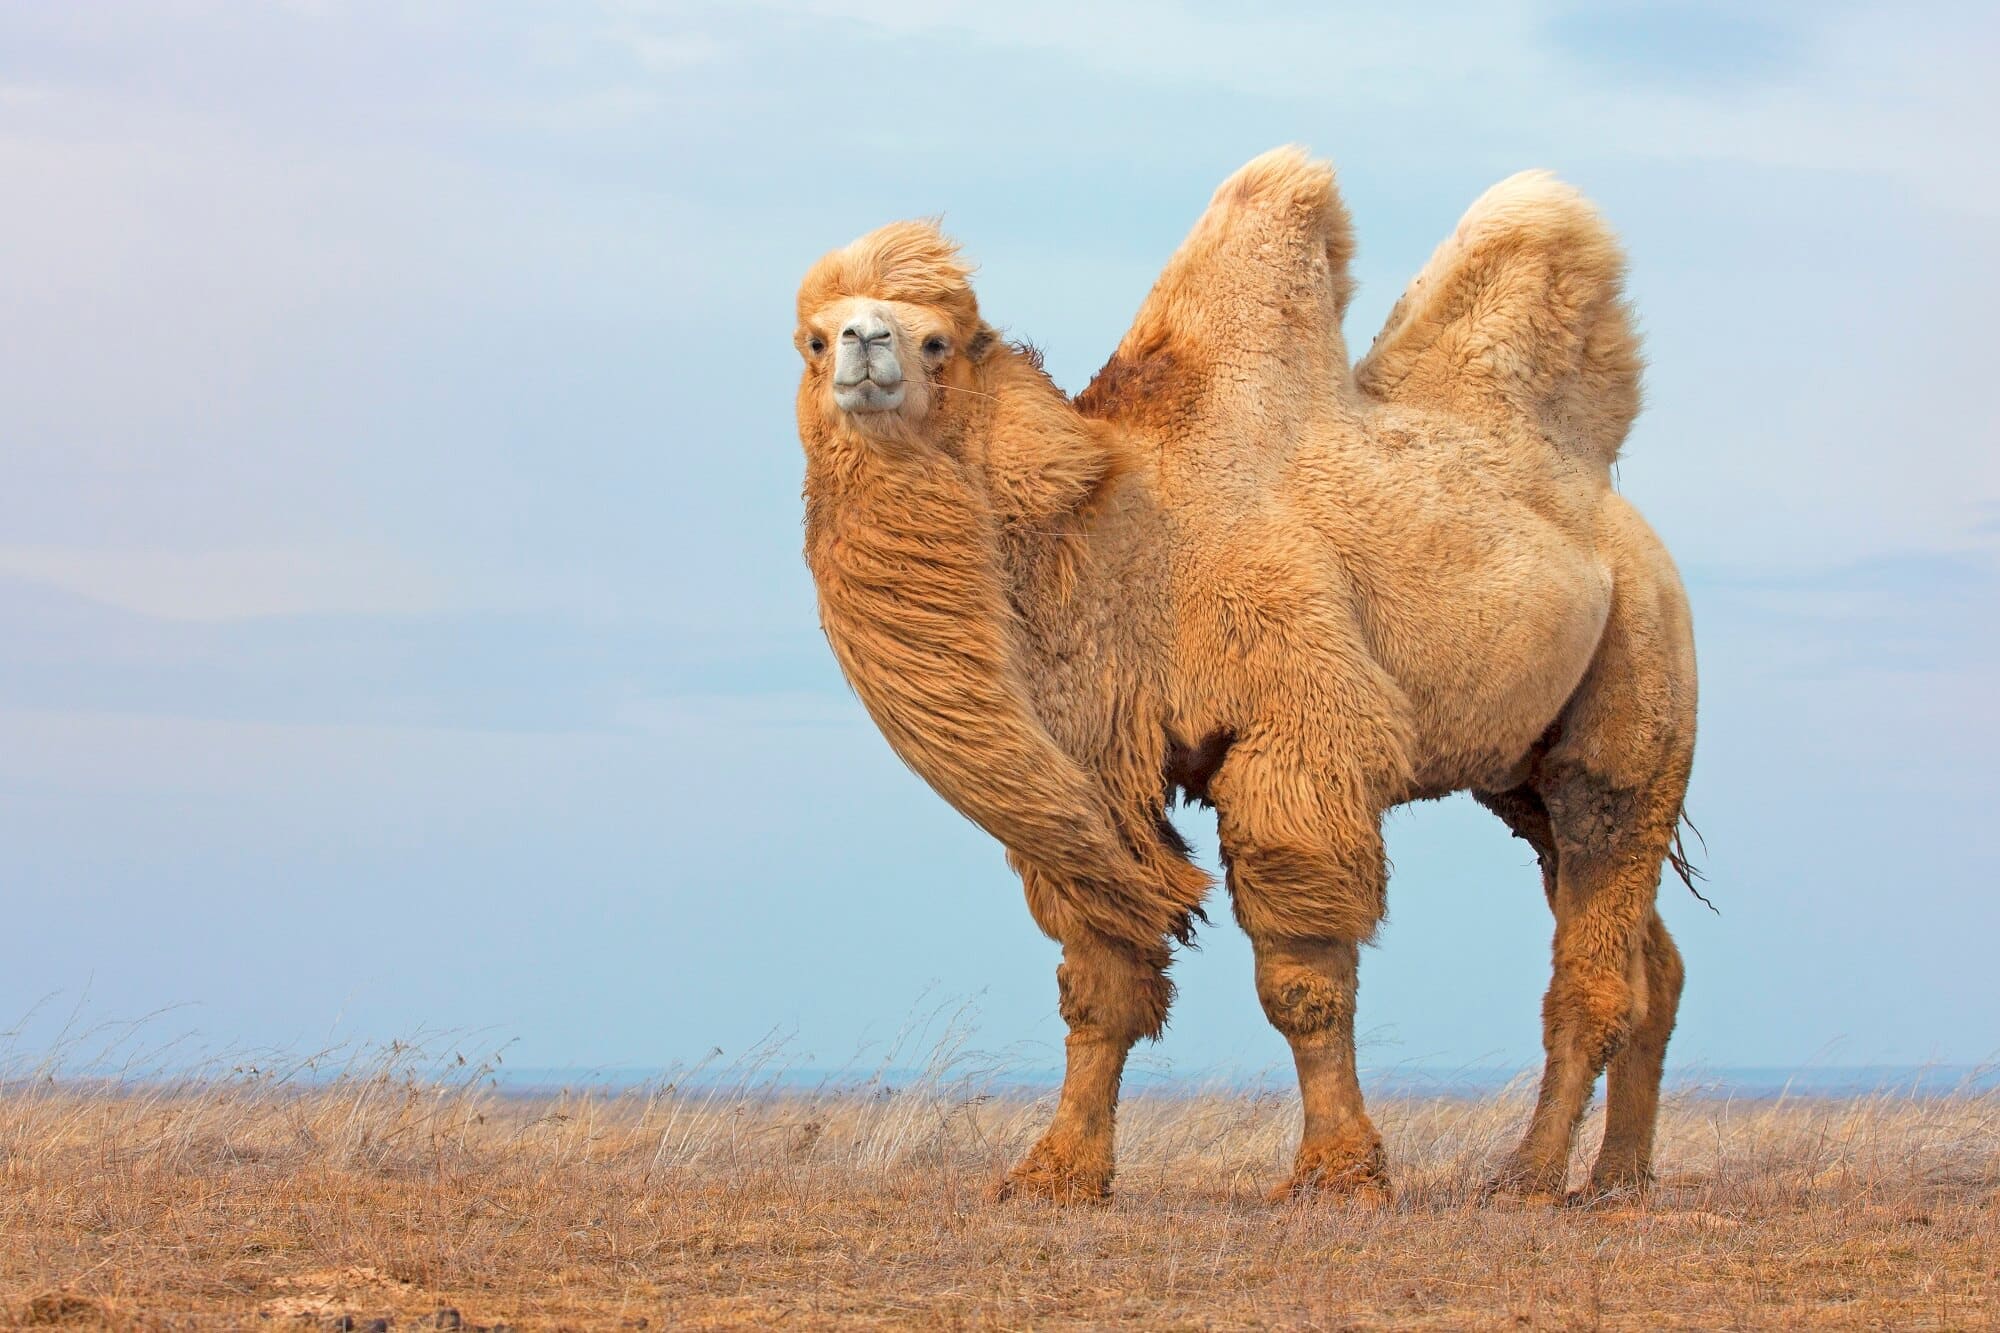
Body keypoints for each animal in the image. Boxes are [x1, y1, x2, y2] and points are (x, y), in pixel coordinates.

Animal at [788, 150, 1696, 1200]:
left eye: (938, 341)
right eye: (811, 339)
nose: (863, 346)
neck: (1116, 535)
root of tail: (1624, 525)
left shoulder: (1297, 729)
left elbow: (1302, 977)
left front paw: (1339, 1173)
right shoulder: (1099, 779)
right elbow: (1101, 980)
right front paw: (1056, 1174)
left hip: (1640, 679)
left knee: (1597, 930)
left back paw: (1531, 1175)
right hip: (1522, 774)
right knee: (1649, 958)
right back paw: (1619, 1177)